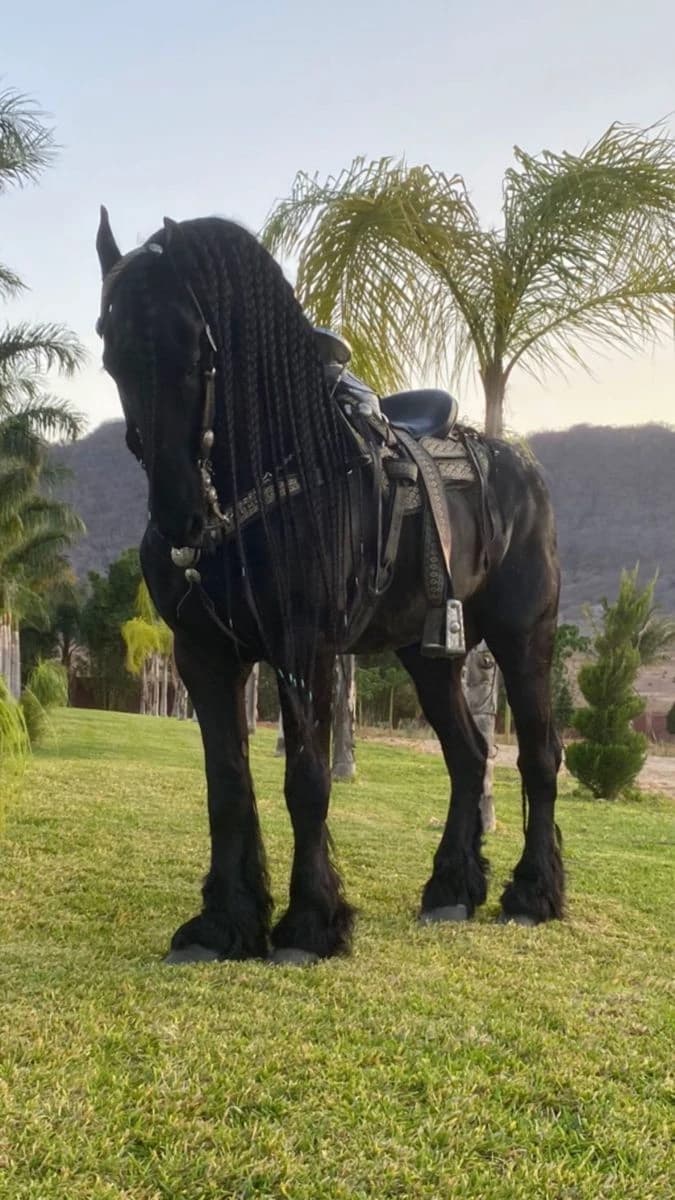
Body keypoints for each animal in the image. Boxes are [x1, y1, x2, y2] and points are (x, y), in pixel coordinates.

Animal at [95, 210, 564, 965]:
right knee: (468, 757)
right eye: (113, 354)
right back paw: (451, 890)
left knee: (540, 757)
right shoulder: (203, 654)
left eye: (200, 349)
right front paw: (222, 925)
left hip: (525, 636)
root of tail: (517, 464)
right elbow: (227, 787)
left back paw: (531, 895)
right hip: (428, 654)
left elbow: (307, 781)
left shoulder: (303, 646)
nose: (178, 516)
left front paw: (310, 925)